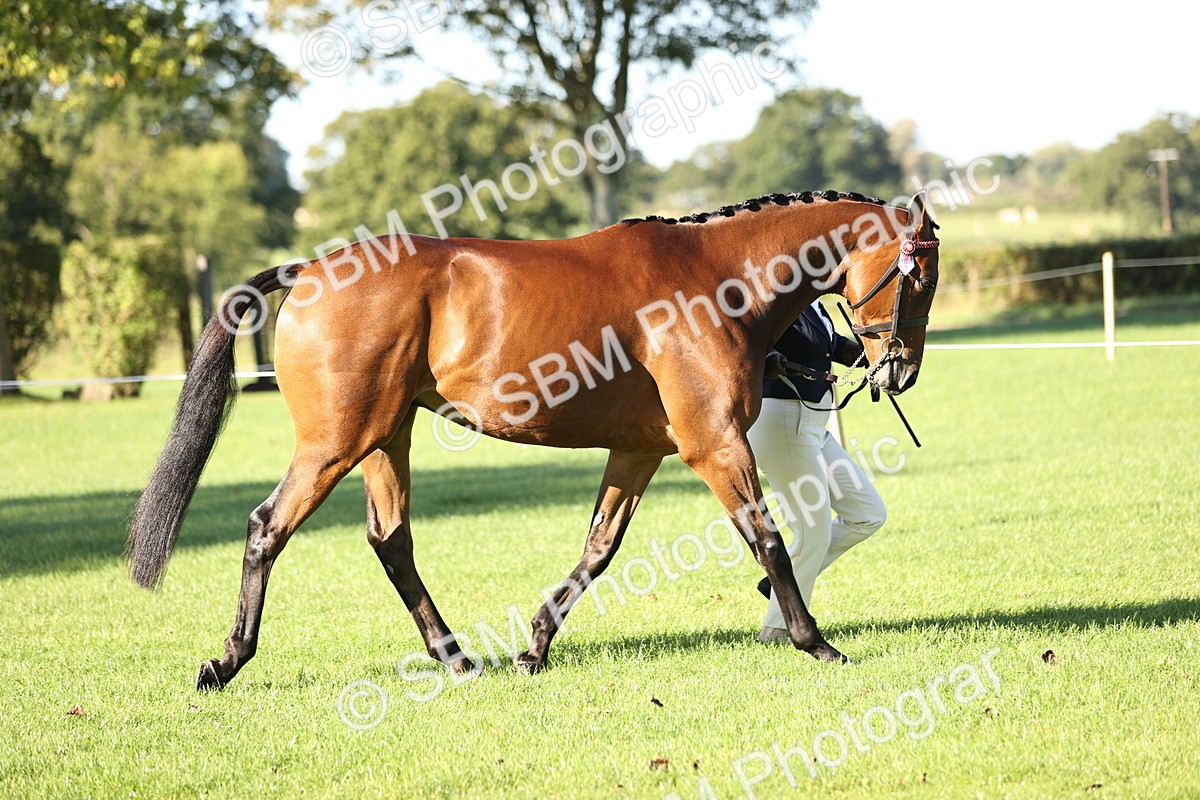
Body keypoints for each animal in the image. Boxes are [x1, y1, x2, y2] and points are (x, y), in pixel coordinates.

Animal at [126, 188, 940, 690]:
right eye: (918, 278)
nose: (899, 371)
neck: (717, 281)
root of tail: (310, 269)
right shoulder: (713, 446)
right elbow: (767, 538)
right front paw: (817, 642)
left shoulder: (640, 451)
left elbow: (598, 550)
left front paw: (534, 648)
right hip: (337, 443)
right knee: (269, 527)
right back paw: (226, 661)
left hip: (387, 439)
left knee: (391, 541)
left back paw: (457, 659)